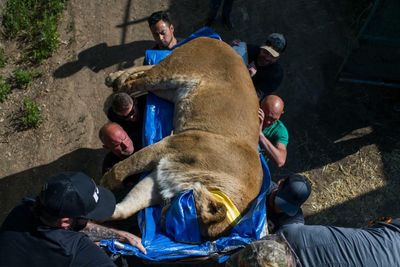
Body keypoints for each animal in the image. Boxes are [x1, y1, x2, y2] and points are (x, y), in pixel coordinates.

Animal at [100, 37, 262, 241]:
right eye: (182, 217)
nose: (162, 224)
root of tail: (216, 39)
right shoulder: (172, 145)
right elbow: (126, 166)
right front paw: (105, 183)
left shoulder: (163, 175)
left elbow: (127, 207)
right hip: (173, 72)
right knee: (138, 81)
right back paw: (117, 86)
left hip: (167, 90)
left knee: (145, 71)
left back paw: (115, 77)